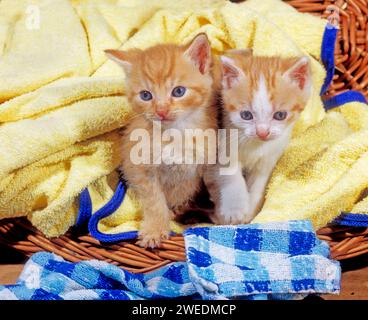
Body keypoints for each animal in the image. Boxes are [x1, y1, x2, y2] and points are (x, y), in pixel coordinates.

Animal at [105, 34, 218, 248]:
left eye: (178, 91)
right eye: (146, 95)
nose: (161, 111)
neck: (173, 135)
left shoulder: (201, 166)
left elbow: (185, 187)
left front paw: (177, 209)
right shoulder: (139, 168)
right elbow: (154, 200)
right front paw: (155, 229)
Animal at [211, 50, 312, 225]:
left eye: (280, 115)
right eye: (246, 115)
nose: (262, 132)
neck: (256, 145)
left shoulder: (270, 158)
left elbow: (259, 185)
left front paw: (250, 212)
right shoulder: (223, 143)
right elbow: (230, 175)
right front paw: (235, 211)